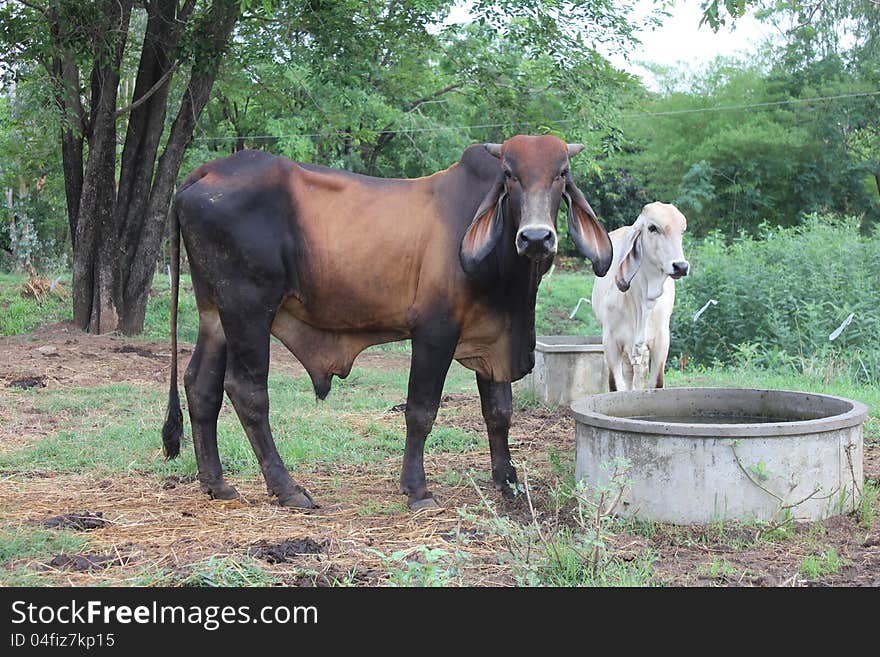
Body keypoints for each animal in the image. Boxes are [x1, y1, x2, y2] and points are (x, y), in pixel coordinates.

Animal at [162, 136, 608, 510]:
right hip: (249, 308)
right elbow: (421, 410)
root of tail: (207, 172)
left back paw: (216, 483)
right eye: (510, 175)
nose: (536, 238)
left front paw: (508, 480)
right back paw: (287, 488)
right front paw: (417, 490)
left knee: (201, 385)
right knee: (247, 391)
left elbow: (499, 411)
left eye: (562, 173)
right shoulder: (434, 332)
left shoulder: (492, 335)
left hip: (215, 312)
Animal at [588, 202, 692, 390]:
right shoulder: (610, 341)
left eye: (682, 231)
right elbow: (616, 385)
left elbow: (656, 383)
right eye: (652, 228)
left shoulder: (661, 340)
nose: (680, 266)